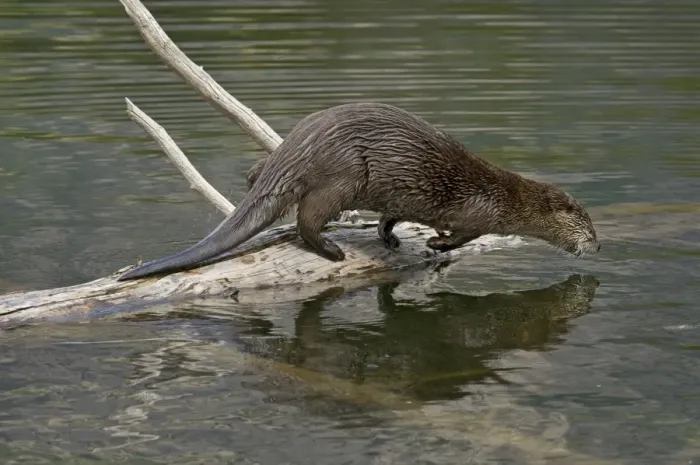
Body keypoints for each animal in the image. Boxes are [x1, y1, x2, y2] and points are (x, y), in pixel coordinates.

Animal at [118, 102, 600, 281]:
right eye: (588, 226)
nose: (598, 247)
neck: (505, 196)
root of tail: (299, 145)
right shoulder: (479, 212)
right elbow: (464, 235)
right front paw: (437, 244)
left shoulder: (400, 197)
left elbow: (391, 215)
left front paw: (391, 237)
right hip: (343, 177)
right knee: (306, 218)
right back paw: (331, 250)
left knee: (260, 178)